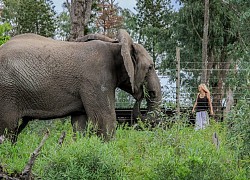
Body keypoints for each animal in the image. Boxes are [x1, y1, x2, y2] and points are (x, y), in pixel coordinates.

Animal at [0, 29, 162, 142]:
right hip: (7, 91)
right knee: (8, 128)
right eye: (150, 67)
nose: (144, 94)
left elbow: (79, 123)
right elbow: (105, 120)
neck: (116, 45)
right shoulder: (96, 79)